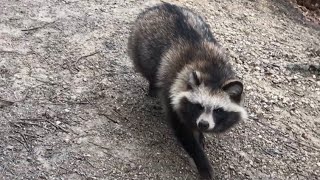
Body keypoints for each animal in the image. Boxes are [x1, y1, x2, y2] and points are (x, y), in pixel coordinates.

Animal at [127, 2, 248, 179]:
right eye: (199, 106)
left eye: (218, 110)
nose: (203, 124)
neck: (213, 74)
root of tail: (162, 5)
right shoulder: (172, 91)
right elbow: (184, 132)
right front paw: (202, 163)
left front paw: (199, 133)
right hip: (140, 46)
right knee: (150, 72)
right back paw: (152, 86)